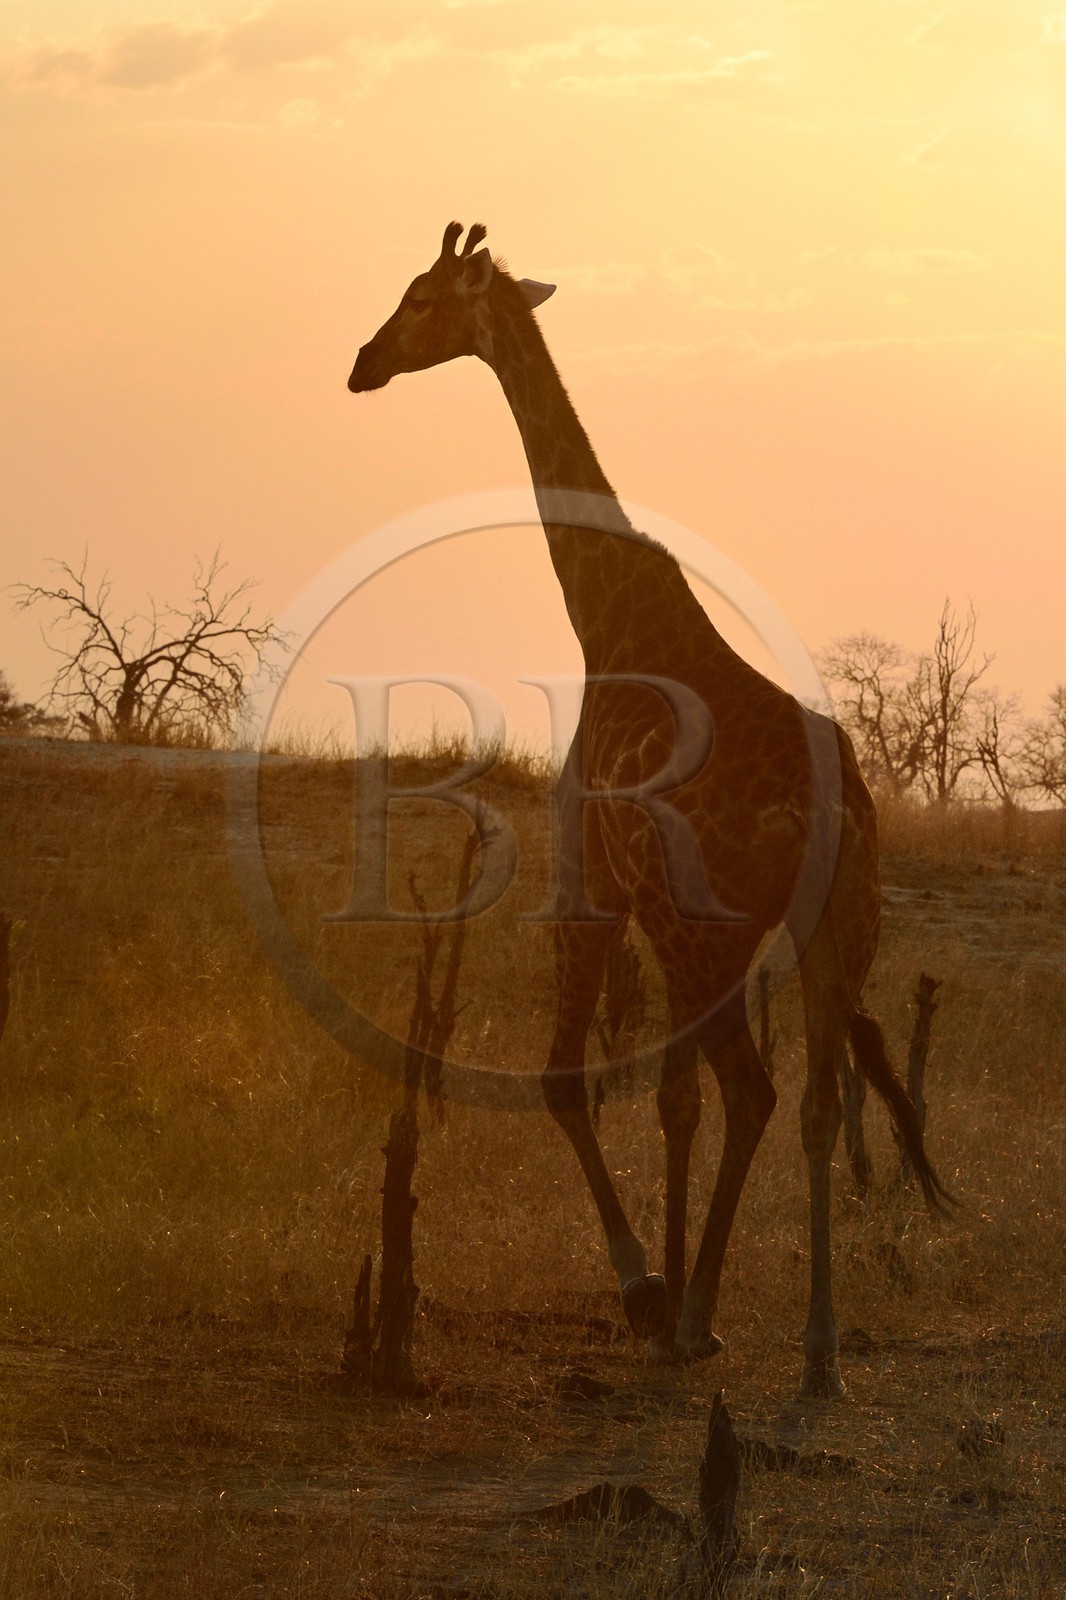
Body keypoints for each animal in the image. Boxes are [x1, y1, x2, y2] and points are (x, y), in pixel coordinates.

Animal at [348, 222, 952, 1396]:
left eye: (421, 297)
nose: (360, 364)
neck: (609, 617)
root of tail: (828, 815)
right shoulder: (674, 923)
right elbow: (672, 1100)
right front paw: (679, 1296)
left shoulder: (591, 884)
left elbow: (576, 1085)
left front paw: (649, 1289)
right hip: (838, 929)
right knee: (813, 1102)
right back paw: (817, 1348)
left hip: (706, 929)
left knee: (750, 1090)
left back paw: (697, 1312)